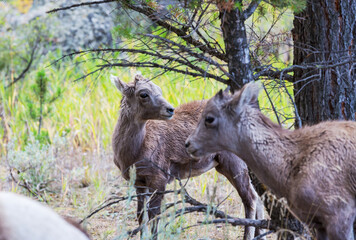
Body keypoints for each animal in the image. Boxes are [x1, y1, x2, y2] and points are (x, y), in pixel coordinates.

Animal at [111, 74, 264, 239]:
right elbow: (141, 217)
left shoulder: (159, 178)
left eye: (158, 89)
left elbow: (154, 218)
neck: (133, 153)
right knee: (258, 198)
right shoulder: (139, 181)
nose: (170, 109)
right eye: (143, 94)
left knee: (250, 198)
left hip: (234, 162)